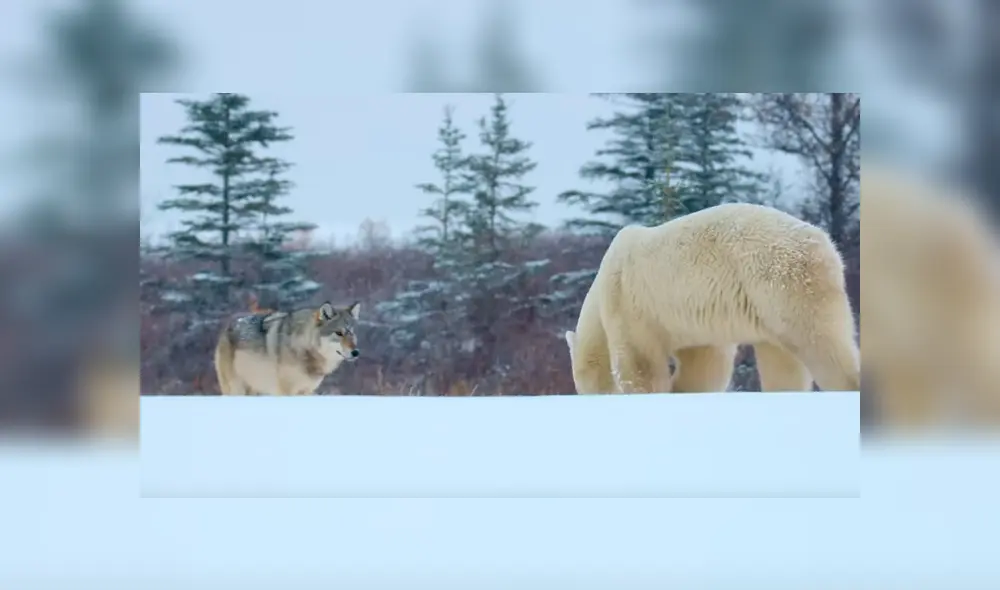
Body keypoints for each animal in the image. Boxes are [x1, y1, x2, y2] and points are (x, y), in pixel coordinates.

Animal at [214, 301, 362, 396]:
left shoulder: (306, 391)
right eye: (339, 333)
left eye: (352, 332)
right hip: (236, 389)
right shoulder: (286, 391)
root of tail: (227, 328)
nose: (356, 352)